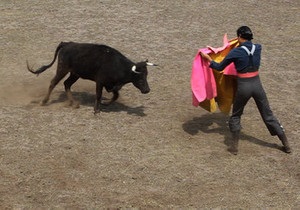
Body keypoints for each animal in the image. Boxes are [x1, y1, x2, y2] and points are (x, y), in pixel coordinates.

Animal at [27, 41, 157, 112]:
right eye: (140, 77)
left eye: (146, 75)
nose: (147, 90)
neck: (118, 65)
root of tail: (67, 43)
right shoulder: (100, 82)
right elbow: (98, 95)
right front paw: (96, 110)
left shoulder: (111, 85)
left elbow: (116, 96)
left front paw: (105, 104)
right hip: (62, 69)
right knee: (53, 82)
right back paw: (44, 101)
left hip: (75, 74)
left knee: (66, 84)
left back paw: (74, 103)